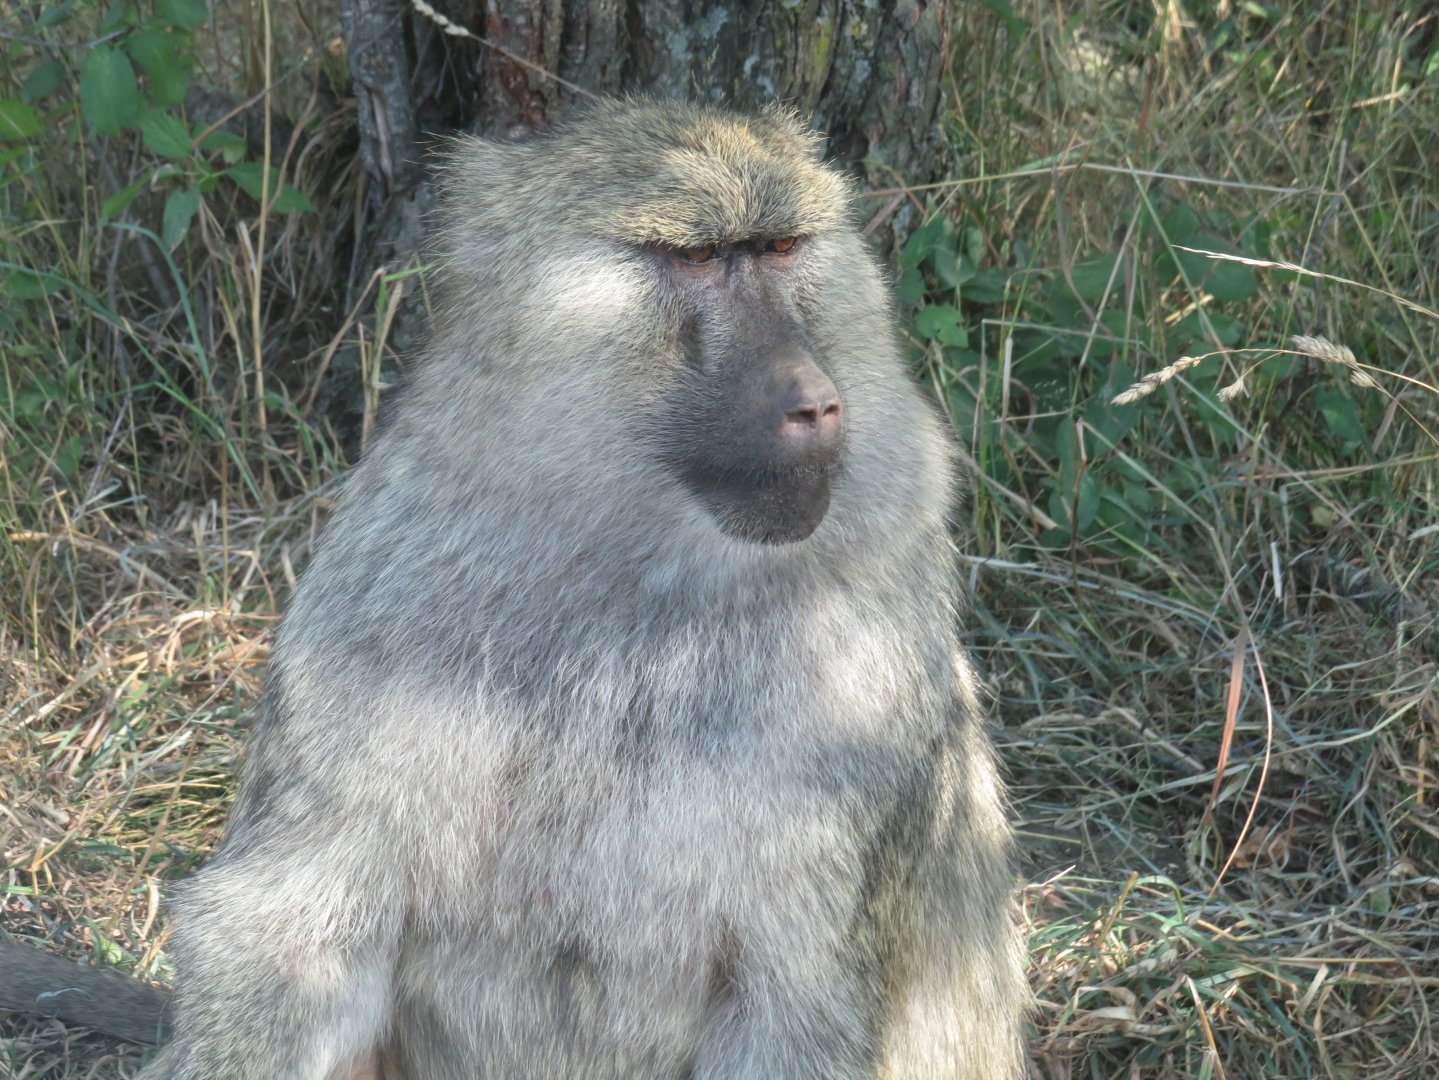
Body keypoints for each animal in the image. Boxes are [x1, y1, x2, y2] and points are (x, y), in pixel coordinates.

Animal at [5, 99, 1027, 1078]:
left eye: (781, 248)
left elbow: (801, 1014)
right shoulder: (379, 588)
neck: (633, 587)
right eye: (698, 258)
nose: (812, 401)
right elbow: (286, 933)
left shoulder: (868, 677)